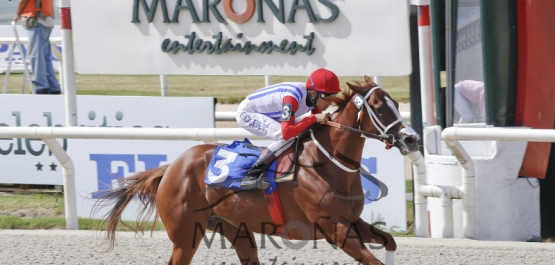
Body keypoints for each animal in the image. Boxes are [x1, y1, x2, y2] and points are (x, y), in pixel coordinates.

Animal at [93, 75, 420, 262]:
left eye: (395, 102)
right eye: (379, 107)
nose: (412, 138)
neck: (328, 165)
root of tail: (172, 166)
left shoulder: (352, 222)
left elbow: (389, 241)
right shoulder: (334, 229)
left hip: (234, 228)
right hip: (186, 234)